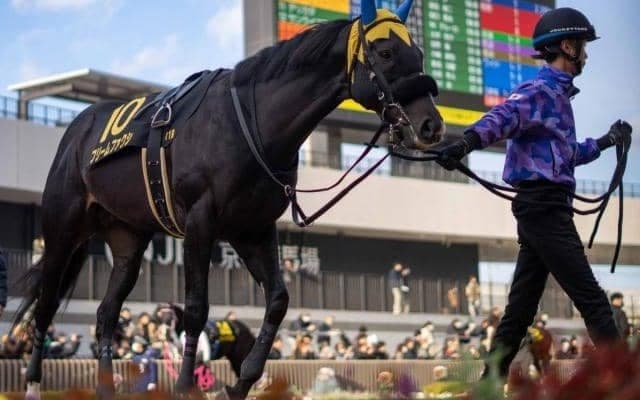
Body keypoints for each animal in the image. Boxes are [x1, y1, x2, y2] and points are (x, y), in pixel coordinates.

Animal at [14, 0, 444, 398]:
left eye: (419, 54)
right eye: (385, 52)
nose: (431, 126)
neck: (250, 125)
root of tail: (76, 128)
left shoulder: (252, 229)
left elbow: (278, 300)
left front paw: (241, 382)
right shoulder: (199, 221)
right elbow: (196, 307)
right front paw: (186, 385)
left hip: (127, 240)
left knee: (106, 312)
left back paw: (105, 387)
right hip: (63, 229)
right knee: (46, 304)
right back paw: (33, 382)